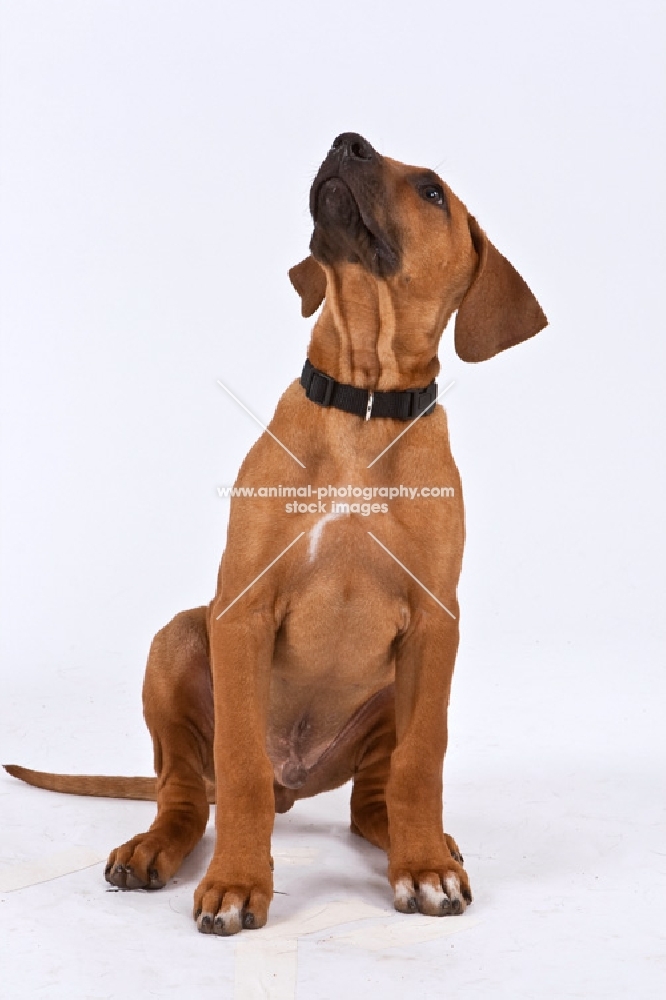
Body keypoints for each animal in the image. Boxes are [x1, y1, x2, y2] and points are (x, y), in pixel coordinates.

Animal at [5, 129, 544, 932]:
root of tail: (301, 778)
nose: (348, 142)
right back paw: (153, 848)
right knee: (187, 790)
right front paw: (235, 882)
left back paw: (422, 844)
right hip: (178, 639)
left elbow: (422, 763)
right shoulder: (243, 610)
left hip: (390, 691)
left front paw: (423, 871)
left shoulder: (434, 624)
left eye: (432, 192)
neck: (363, 404)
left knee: (372, 800)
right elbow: (241, 771)